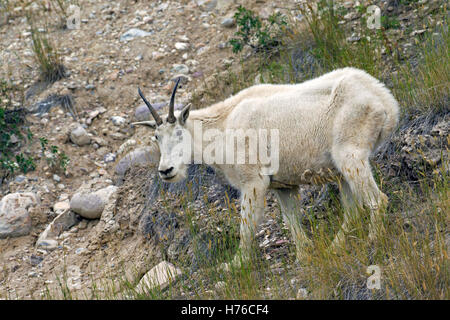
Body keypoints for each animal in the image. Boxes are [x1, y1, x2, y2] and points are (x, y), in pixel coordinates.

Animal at [132, 68, 400, 268]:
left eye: (179, 132)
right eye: (156, 137)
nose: (166, 171)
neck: (223, 126)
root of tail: (384, 100)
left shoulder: (253, 182)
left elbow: (247, 227)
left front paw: (235, 265)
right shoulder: (283, 186)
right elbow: (291, 221)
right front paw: (304, 255)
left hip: (350, 155)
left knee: (378, 200)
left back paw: (373, 240)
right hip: (341, 170)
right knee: (352, 210)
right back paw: (335, 247)